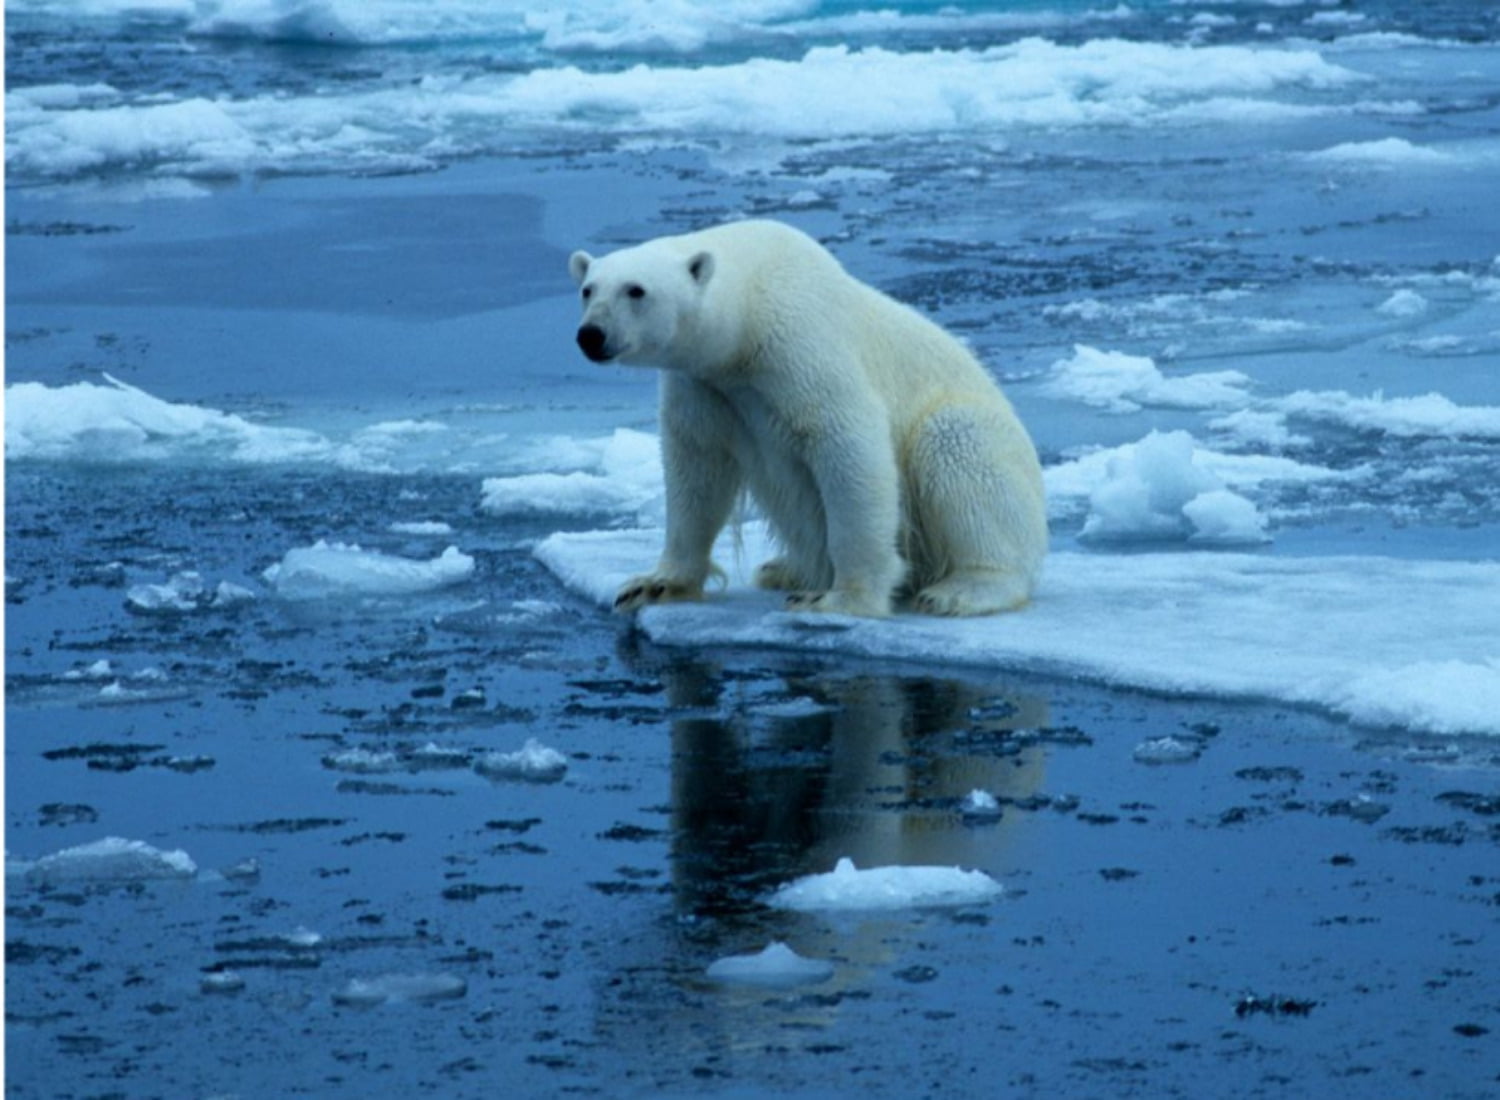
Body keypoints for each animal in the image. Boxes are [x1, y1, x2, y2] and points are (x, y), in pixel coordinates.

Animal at [567, 220, 1050, 618]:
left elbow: (848, 448)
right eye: (588, 289)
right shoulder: (704, 384)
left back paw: (959, 591)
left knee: (957, 450)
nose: (591, 335)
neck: (748, 317)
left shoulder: (801, 348)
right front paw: (653, 585)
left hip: (979, 441)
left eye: (636, 290)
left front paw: (841, 598)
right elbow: (695, 467)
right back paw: (781, 568)